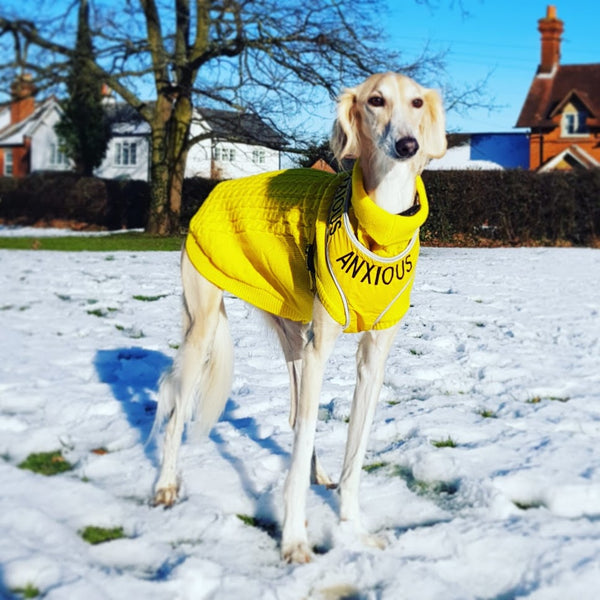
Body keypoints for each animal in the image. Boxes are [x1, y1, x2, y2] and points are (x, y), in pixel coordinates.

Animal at [152, 72, 448, 564]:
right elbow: (305, 436)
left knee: (295, 417)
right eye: (376, 100)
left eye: (417, 102)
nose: (407, 145)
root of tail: (213, 191)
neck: (380, 224)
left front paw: (353, 528)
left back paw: (316, 474)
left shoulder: (372, 358)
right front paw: (293, 540)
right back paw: (165, 486)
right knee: (178, 409)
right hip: (205, 327)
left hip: (294, 335)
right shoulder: (321, 347)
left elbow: (353, 451)